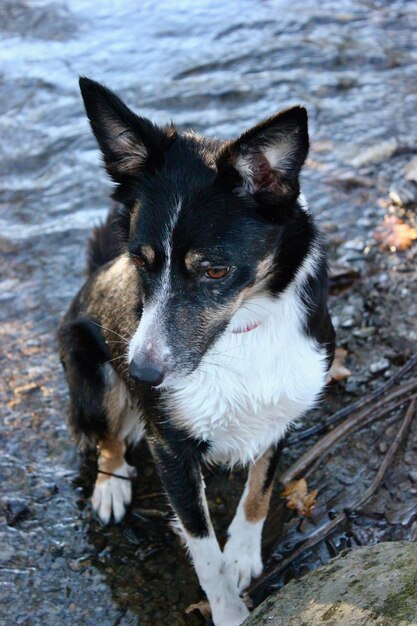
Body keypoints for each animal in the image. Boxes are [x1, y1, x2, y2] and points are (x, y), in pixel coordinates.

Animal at [57, 78, 334, 624]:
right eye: (140, 261)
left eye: (215, 270)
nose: (142, 374)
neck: (243, 330)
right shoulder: (169, 448)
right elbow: (204, 553)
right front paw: (229, 610)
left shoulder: (281, 413)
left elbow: (259, 491)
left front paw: (244, 554)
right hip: (92, 371)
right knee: (107, 438)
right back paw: (112, 483)